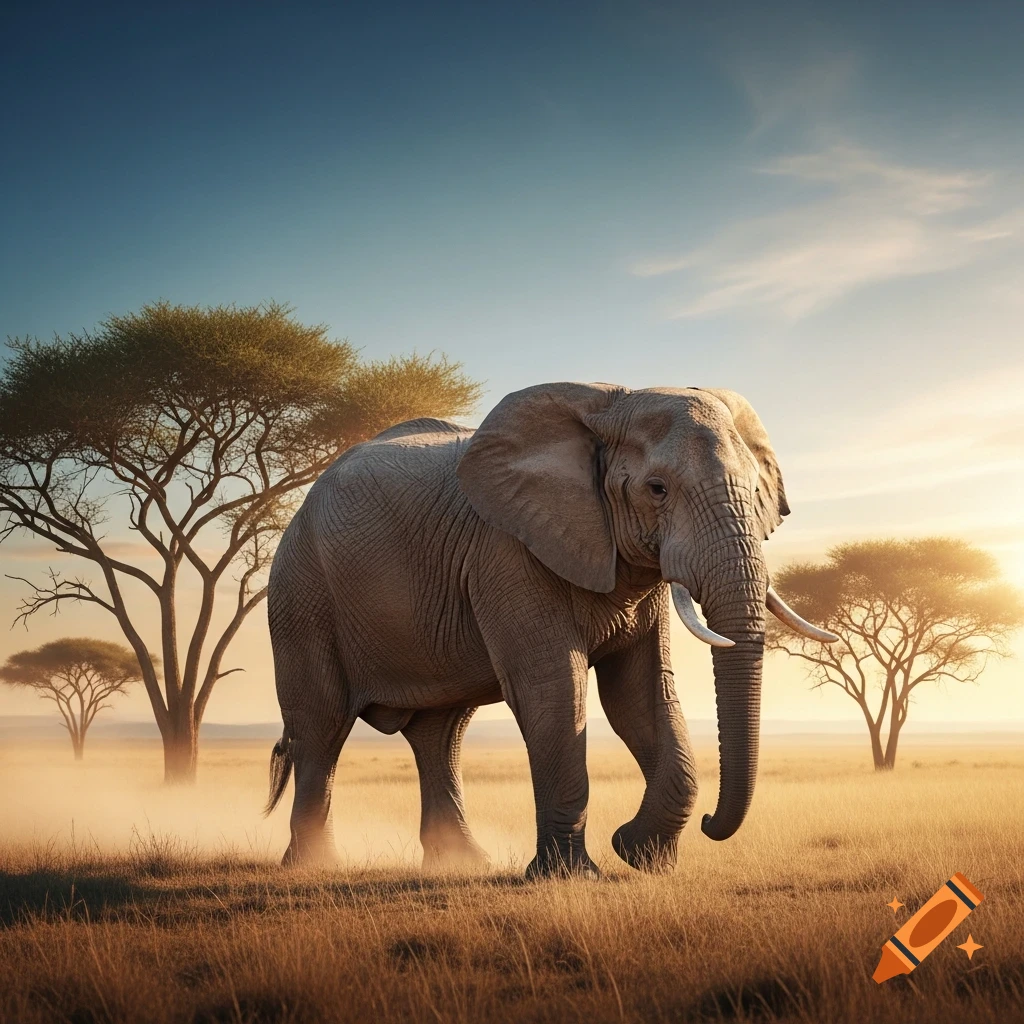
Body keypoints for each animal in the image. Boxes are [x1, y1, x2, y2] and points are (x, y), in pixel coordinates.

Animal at [265, 382, 836, 877]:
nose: (711, 822)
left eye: (758, 493)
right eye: (657, 489)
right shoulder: (507, 553)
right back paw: (314, 868)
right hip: (302, 593)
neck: (608, 407)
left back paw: (463, 865)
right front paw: (573, 875)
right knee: (321, 725)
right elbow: (553, 690)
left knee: (441, 734)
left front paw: (641, 855)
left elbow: (640, 693)